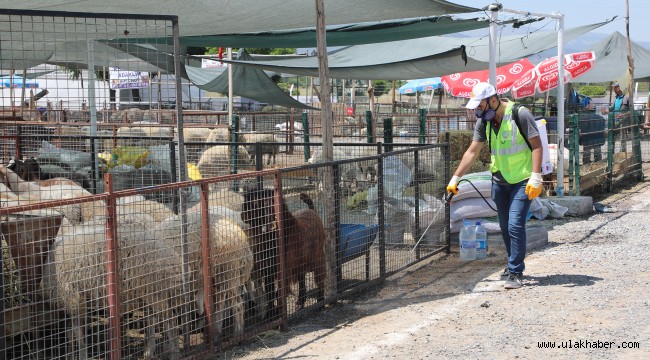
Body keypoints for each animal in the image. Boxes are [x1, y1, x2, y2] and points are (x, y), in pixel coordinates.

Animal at [41, 211, 182, 360]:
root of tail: (171, 257)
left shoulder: (73, 297)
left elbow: (78, 333)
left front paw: (82, 354)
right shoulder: (76, 301)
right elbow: (71, 333)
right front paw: (71, 354)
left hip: (155, 291)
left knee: (170, 321)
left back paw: (174, 353)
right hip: (147, 292)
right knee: (152, 321)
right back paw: (148, 352)